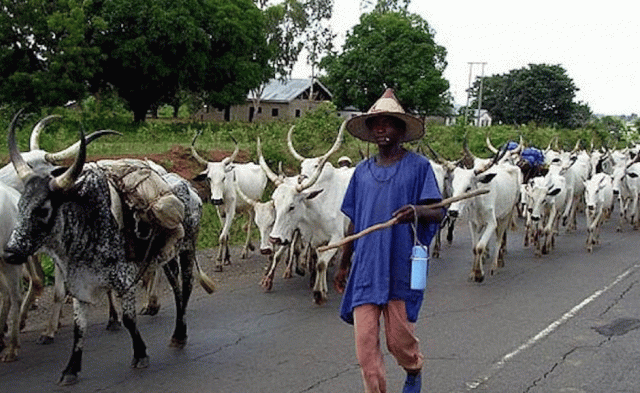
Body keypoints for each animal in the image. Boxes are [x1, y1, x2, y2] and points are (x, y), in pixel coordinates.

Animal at [192, 132, 268, 270]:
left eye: (223, 177)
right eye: (209, 178)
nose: (216, 200)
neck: (224, 190)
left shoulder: (230, 212)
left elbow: (222, 237)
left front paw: (218, 262)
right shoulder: (220, 212)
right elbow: (225, 234)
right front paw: (226, 258)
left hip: (254, 204)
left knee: (250, 225)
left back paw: (245, 250)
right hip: (245, 206)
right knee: (247, 224)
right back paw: (249, 246)